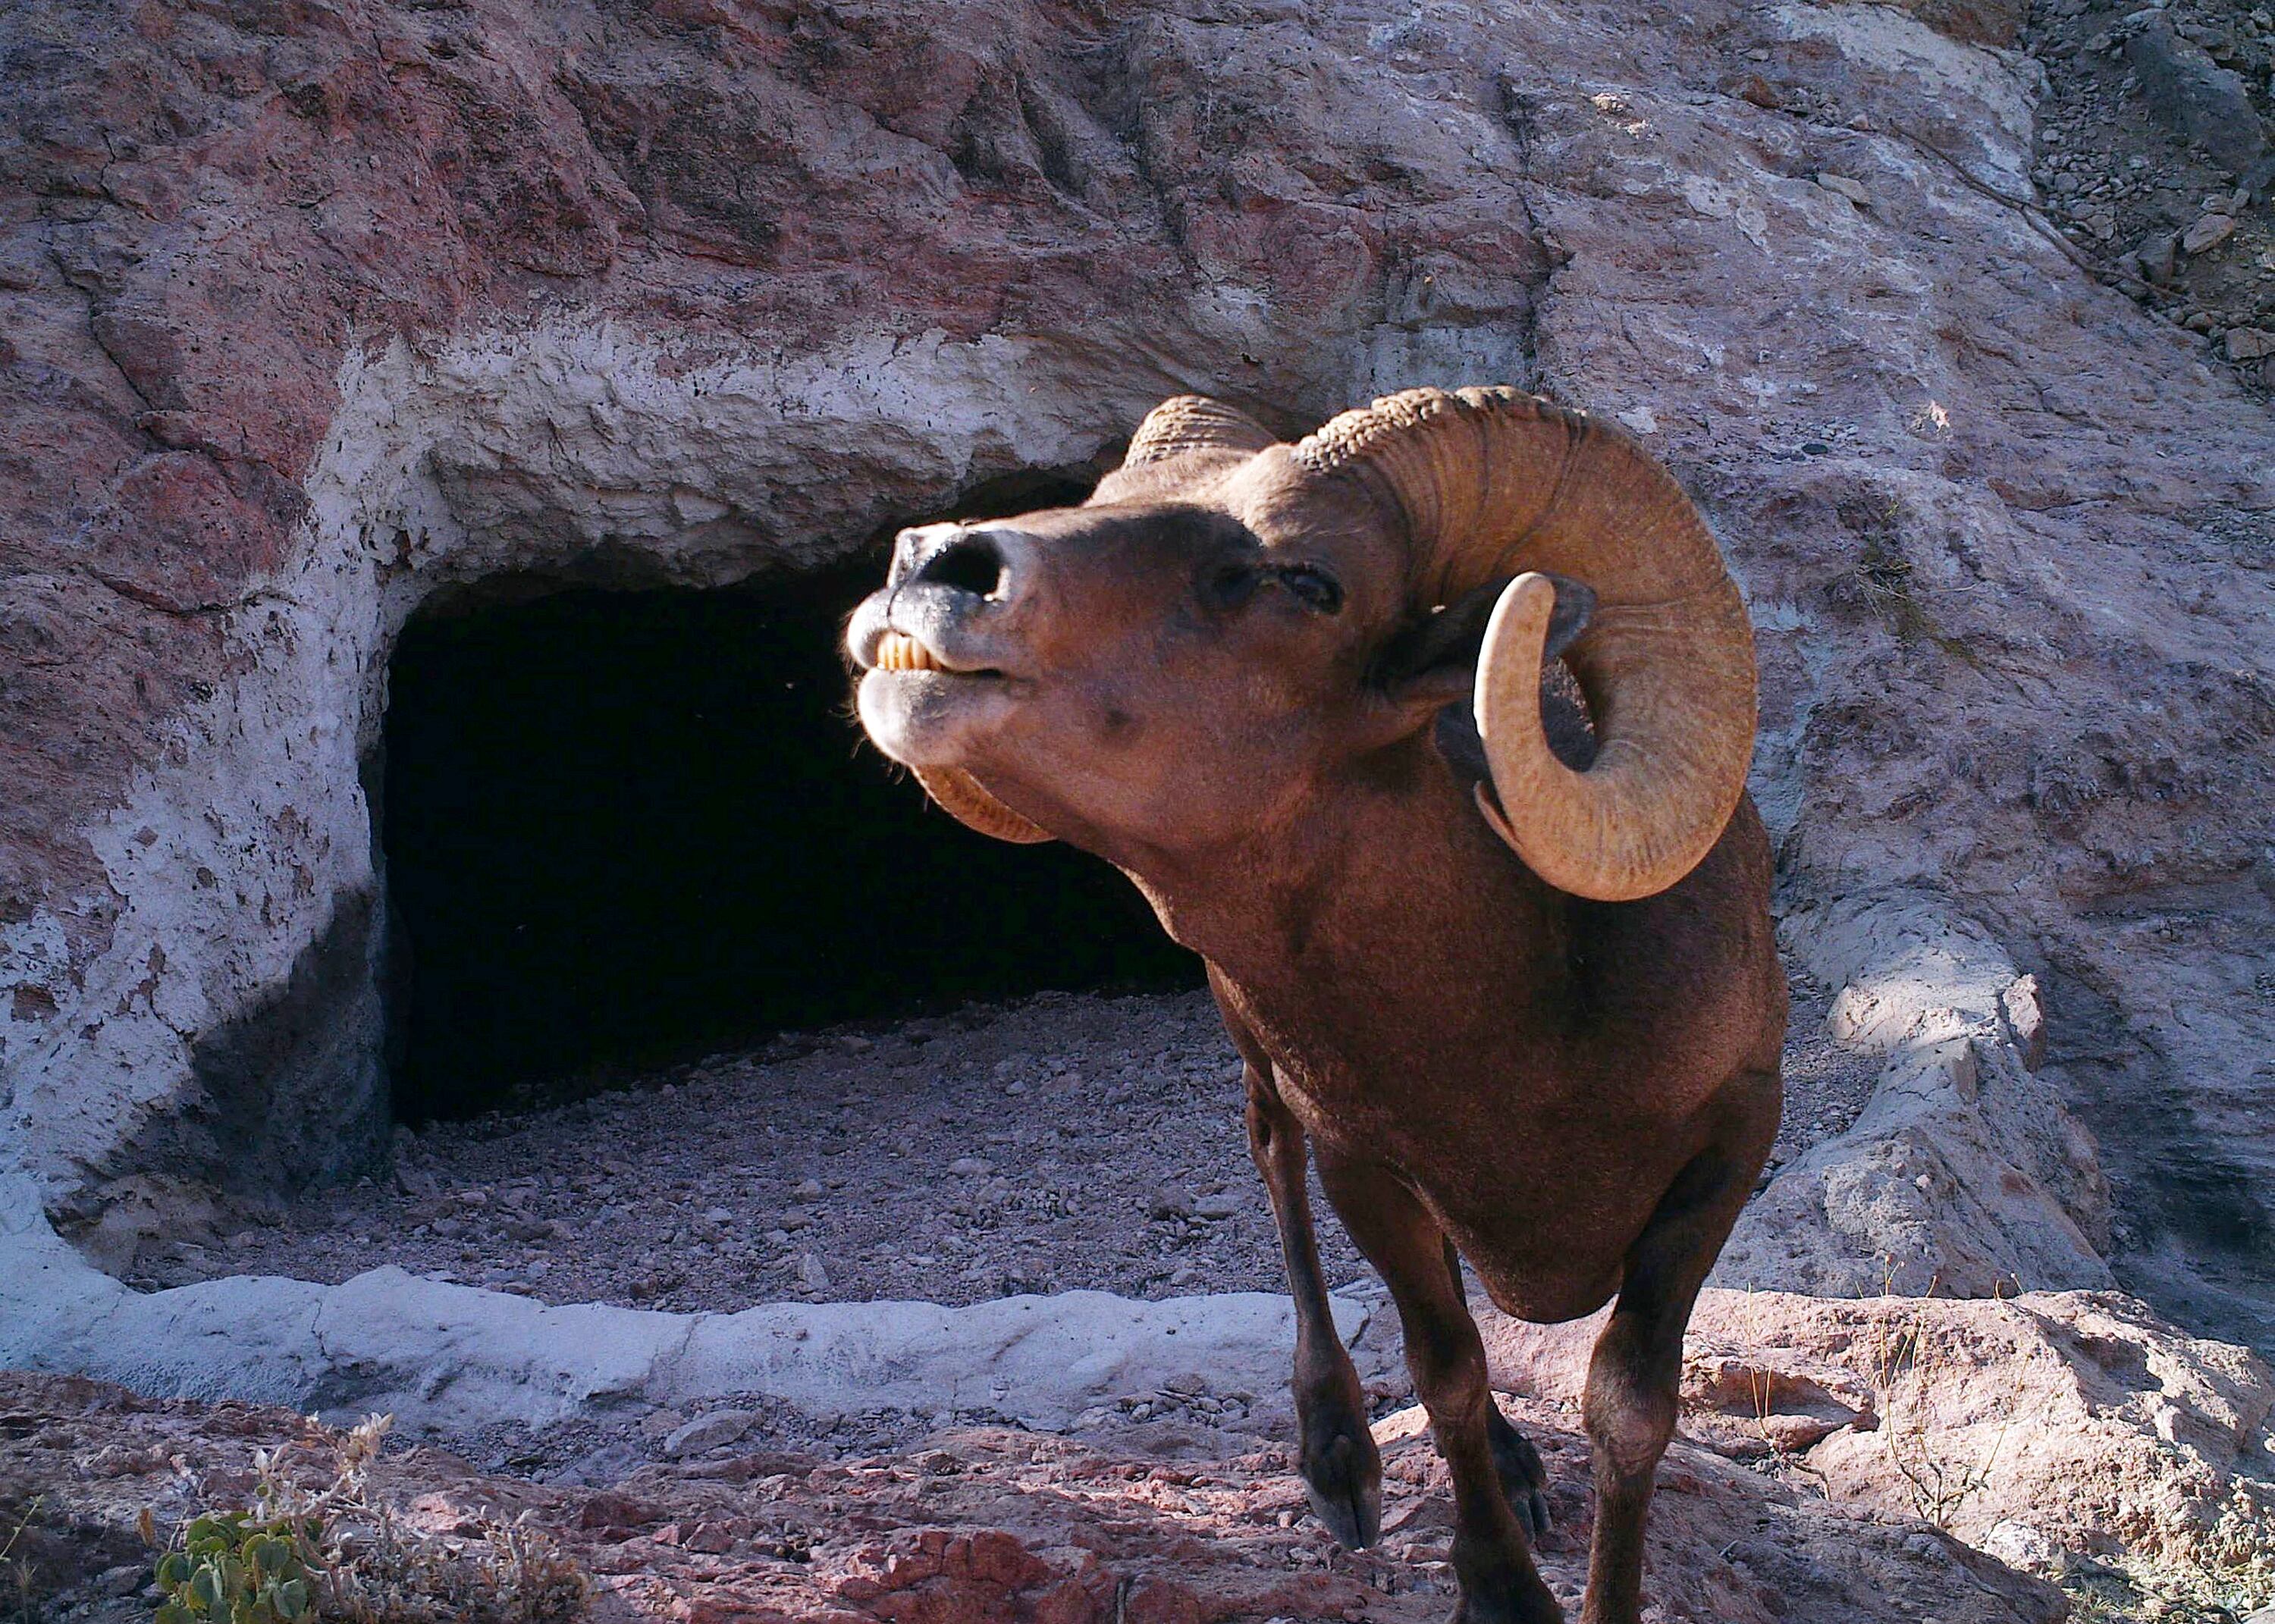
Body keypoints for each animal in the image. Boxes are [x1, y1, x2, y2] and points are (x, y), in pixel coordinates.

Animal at [847, 387, 1785, 1624]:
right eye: (1100, 497)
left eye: (1307, 580)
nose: (933, 566)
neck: (1519, 1051)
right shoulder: (1363, 1166)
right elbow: (1446, 1367)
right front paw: (1498, 1589)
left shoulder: (1727, 1150)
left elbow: (1628, 1409)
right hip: (1260, 1063)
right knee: (1272, 1162)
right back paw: (1341, 1461)